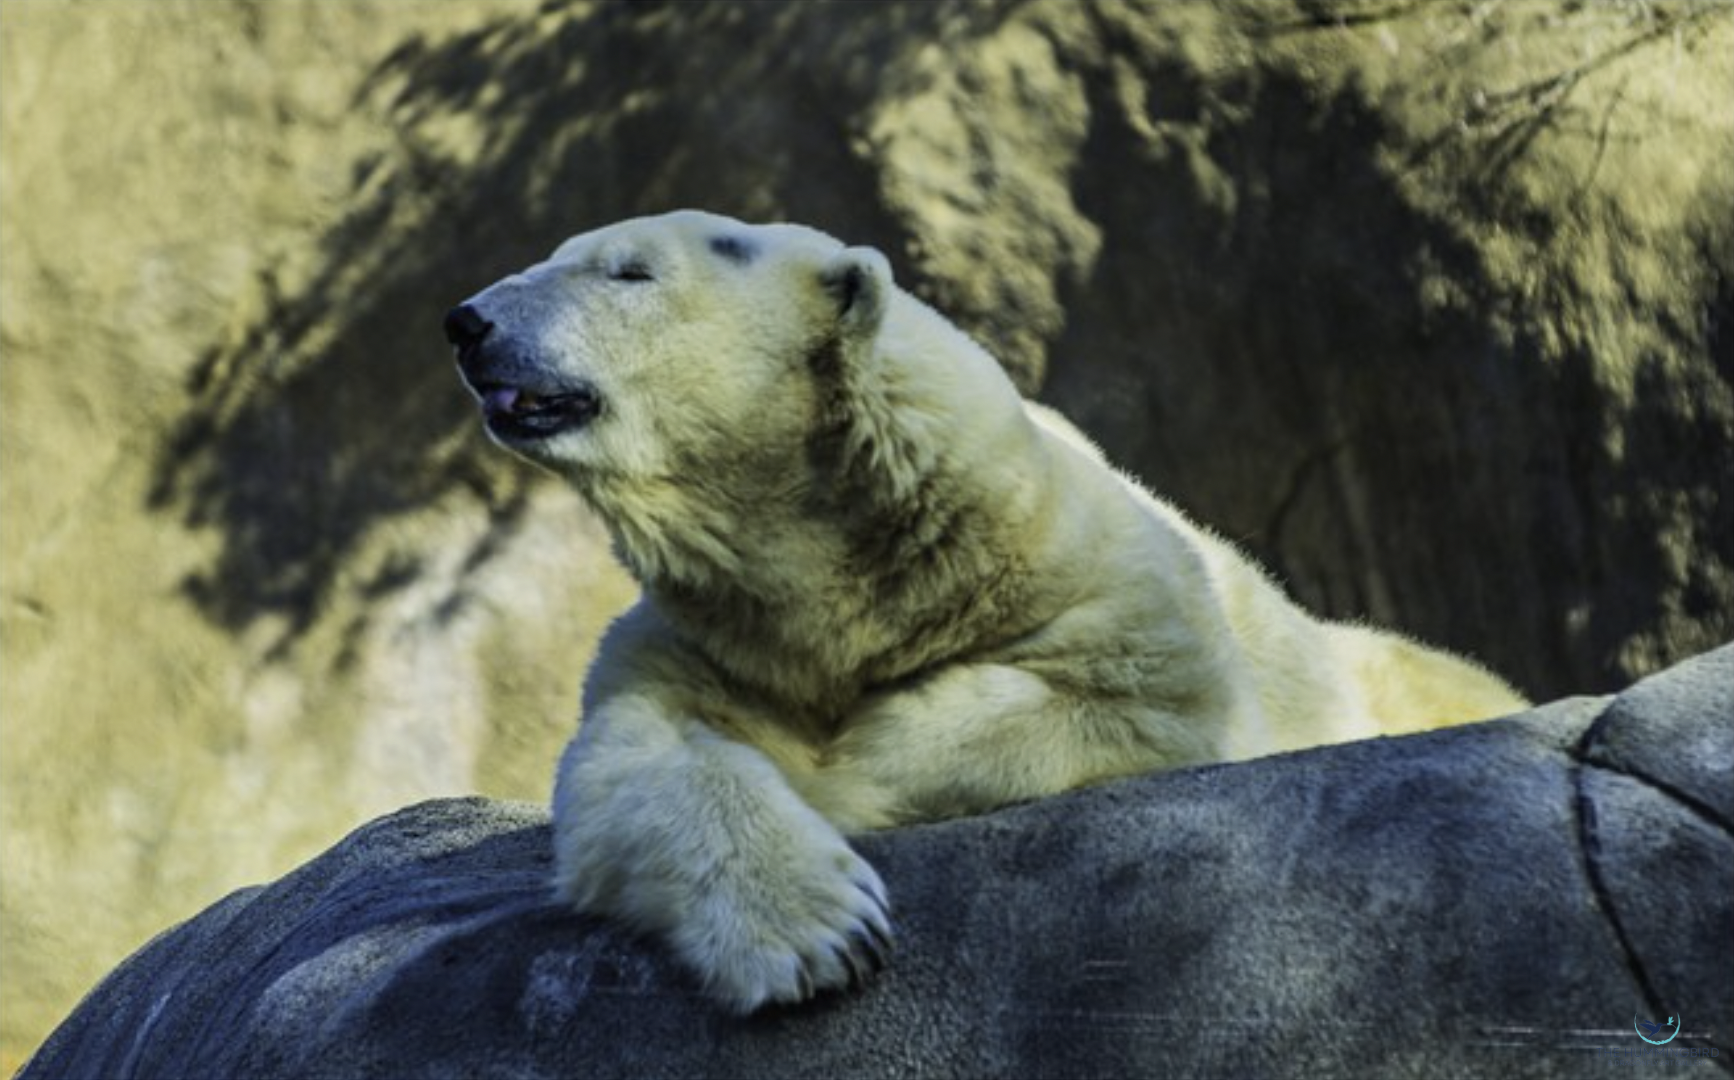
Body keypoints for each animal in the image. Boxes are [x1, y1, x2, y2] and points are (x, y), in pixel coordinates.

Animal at [444, 209, 1528, 1014]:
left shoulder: (1100, 576)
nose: (468, 321)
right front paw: (820, 934)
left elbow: (1133, 699)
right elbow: (642, 757)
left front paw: (840, 778)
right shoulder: (708, 637)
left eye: (629, 273)